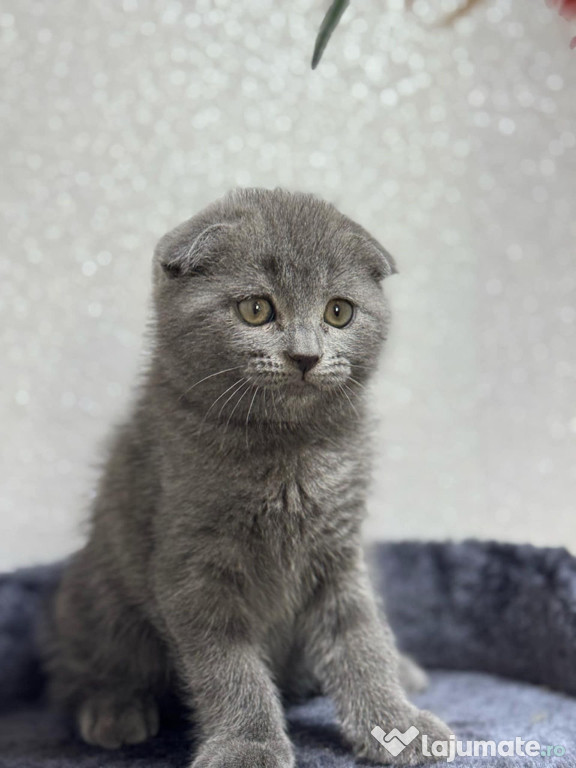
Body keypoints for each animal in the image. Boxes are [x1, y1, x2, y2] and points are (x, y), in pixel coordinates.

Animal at [45, 188, 452, 768]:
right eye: (256, 309)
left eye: (338, 311)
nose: (306, 355)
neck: (288, 454)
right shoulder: (192, 569)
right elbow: (229, 669)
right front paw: (248, 745)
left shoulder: (339, 554)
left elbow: (361, 639)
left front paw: (395, 724)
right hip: (96, 591)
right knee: (76, 668)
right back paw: (113, 708)